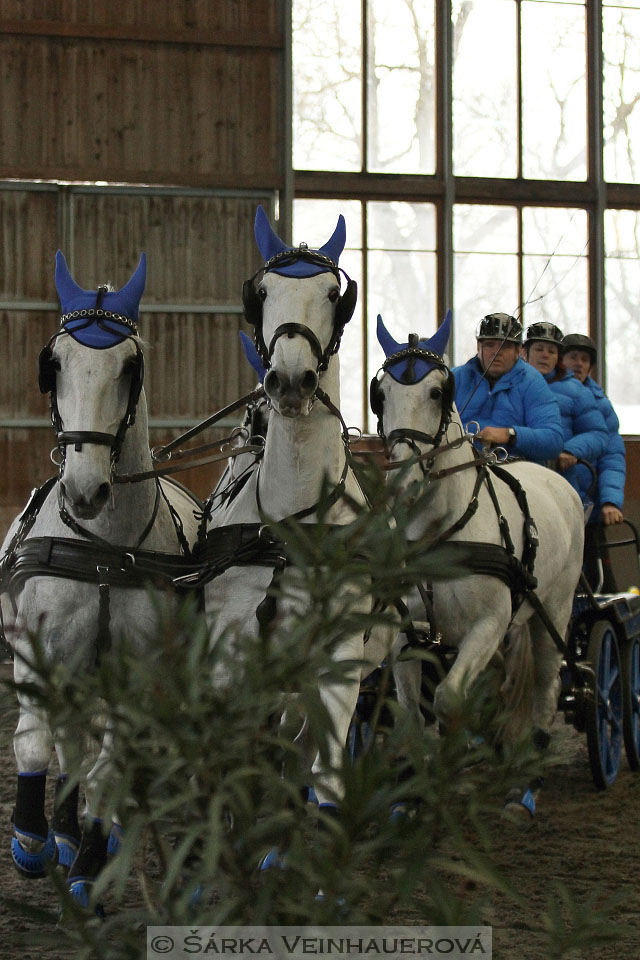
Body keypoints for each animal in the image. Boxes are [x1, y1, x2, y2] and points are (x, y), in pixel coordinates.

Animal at [0, 253, 199, 900]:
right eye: (55, 361)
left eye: (130, 367)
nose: (86, 491)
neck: (105, 548)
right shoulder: (40, 651)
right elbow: (36, 740)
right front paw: (32, 839)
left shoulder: (137, 673)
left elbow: (110, 766)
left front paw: (89, 861)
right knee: (65, 737)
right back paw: (58, 832)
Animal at [200, 208, 396, 808]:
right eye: (262, 291)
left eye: (334, 294)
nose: (289, 380)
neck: (294, 528)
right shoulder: (233, 658)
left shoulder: (338, 665)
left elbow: (326, 773)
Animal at [370, 314, 584, 804]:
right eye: (382, 394)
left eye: (437, 392)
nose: (404, 484)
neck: (439, 530)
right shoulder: (407, 633)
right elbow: (411, 713)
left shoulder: (488, 624)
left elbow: (450, 699)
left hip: (555, 612)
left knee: (546, 687)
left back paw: (529, 773)